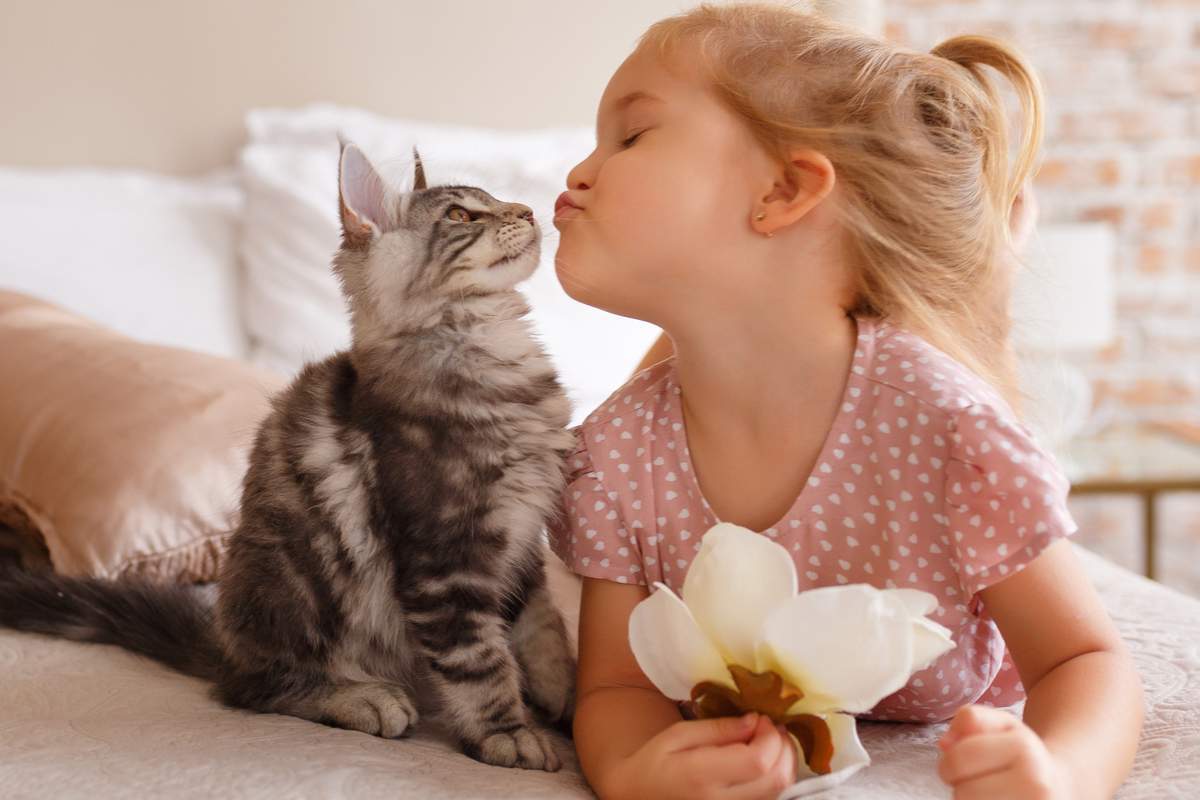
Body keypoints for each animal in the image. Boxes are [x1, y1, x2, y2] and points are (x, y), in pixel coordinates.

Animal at [0, 140, 576, 772]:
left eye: (495, 198)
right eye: (461, 215)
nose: (527, 210)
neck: (493, 353)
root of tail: (224, 640)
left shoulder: (521, 541)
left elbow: (541, 626)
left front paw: (564, 694)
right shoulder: (444, 556)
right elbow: (479, 660)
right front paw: (509, 732)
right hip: (295, 580)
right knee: (251, 687)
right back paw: (360, 698)